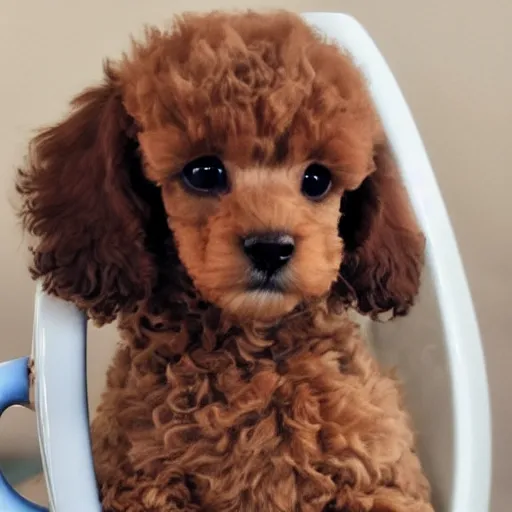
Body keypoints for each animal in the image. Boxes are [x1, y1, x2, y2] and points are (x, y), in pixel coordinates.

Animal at [15, 9, 432, 512]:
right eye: (203, 172)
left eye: (317, 180)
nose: (271, 247)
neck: (249, 351)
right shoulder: (142, 483)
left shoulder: (377, 473)